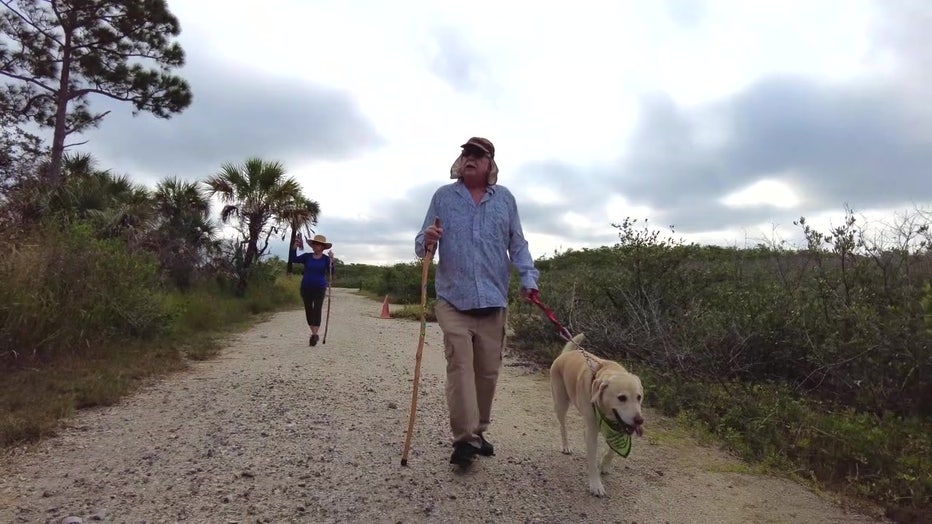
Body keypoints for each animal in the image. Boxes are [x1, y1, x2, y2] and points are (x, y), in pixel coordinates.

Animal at [548, 334, 644, 498]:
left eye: (639, 397)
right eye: (622, 398)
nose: (639, 420)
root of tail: (565, 355)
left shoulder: (619, 428)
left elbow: (612, 450)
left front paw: (605, 464)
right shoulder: (592, 432)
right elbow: (592, 460)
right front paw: (596, 485)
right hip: (561, 403)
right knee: (562, 426)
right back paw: (566, 445)